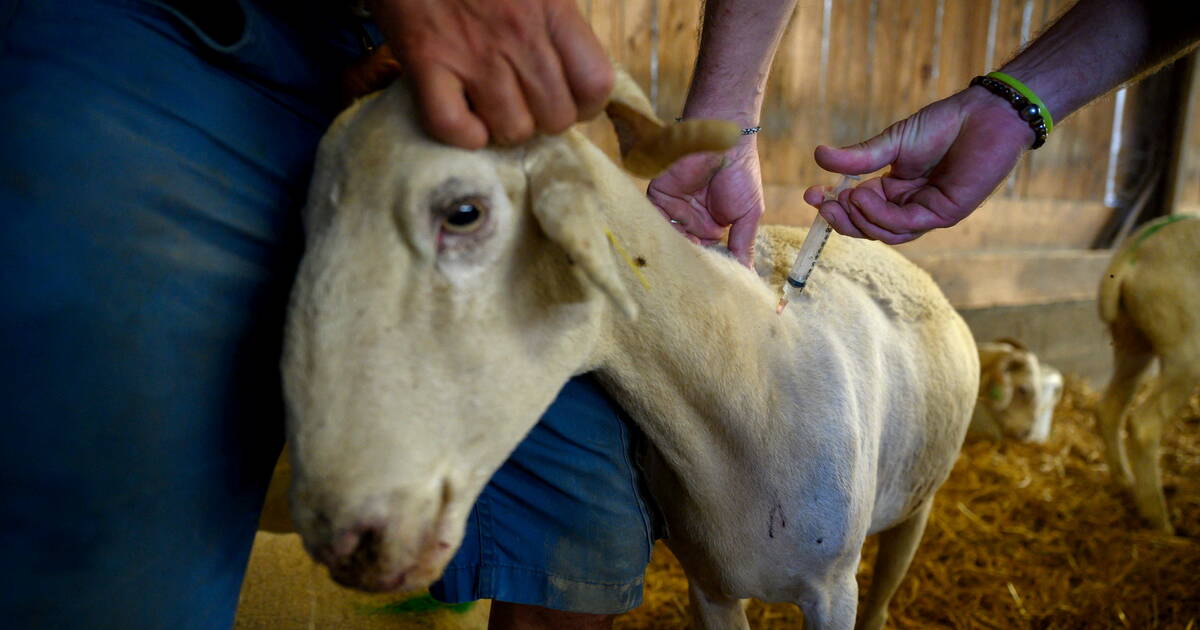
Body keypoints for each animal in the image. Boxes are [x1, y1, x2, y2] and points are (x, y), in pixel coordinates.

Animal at [283, 75, 984, 628]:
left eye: (462, 212)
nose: (344, 538)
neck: (749, 384)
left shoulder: (832, 591)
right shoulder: (709, 586)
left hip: (916, 507)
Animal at [1099, 213, 1200, 532]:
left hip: (1131, 338)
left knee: (1110, 407)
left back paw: (1124, 481)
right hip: (1186, 349)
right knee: (1144, 426)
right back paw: (1160, 523)